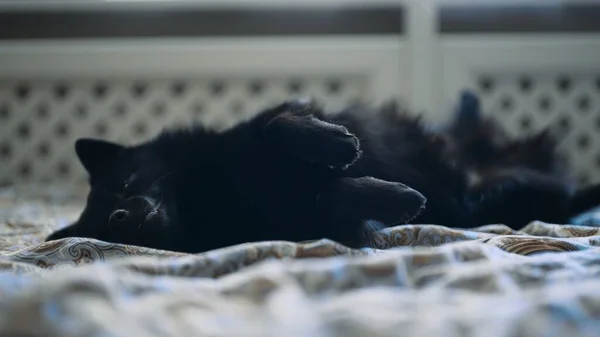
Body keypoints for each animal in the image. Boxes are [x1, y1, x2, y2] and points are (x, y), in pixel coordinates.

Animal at [45, 93, 600, 251]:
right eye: (102, 230)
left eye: (124, 184)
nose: (119, 218)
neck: (214, 194)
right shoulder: (302, 223)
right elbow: (333, 199)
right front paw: (395, 198)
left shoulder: (263, 126)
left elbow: (279, 125)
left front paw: (337, 143)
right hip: (505, 197)